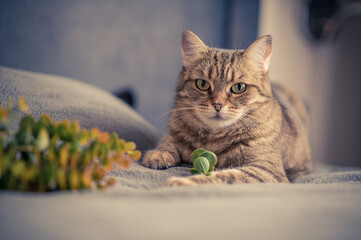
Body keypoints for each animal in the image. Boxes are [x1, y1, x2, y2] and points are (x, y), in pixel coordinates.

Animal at [141, 30, 310, 188]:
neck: (213, 137)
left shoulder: (266, 171)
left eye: (239, 87)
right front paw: (159, 154)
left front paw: (182, 182)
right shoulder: (174, 131)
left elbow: (224, 176)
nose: (217, 105)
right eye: (202, 84)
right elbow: (168, 142)